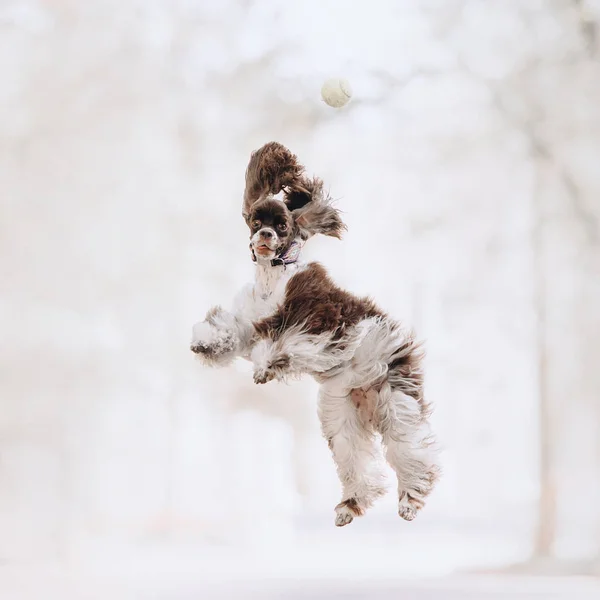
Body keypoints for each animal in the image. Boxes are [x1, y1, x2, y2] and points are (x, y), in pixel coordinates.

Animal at [192, 142, 440, 524]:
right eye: (256, 221)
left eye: (281, 224)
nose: (265, 235)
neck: (273, 278)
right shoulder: (251, 321)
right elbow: (234, 331)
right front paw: (206, 343)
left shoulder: (319, 318)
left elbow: (289, 340)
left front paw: (268, 367)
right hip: (343, 415)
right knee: (355, 460)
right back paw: (349, 506)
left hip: (396, 399)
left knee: (410, 451)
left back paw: (409, 502)